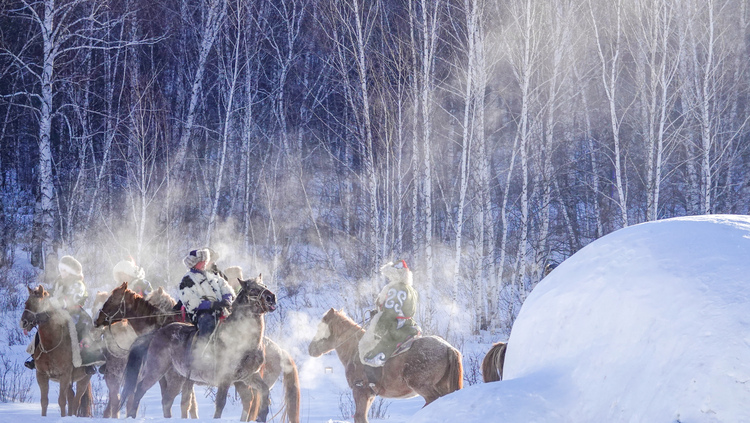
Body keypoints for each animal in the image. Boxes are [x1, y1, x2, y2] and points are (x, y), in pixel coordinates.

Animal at [20, 284, 94, 418]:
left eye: (39, 303)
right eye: (26, 303)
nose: (24, 322)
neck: (51, 346)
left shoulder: (64, 376)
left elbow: (61, 401)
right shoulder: (41, 375)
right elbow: (44, 401)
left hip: (84, 379)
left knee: (77, 400)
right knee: (71, 397)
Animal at [121, 276, 280, 420]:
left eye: (264, 285)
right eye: (253, 289)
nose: (271, 298)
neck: (242, 339)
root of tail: (158, 332)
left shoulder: (248, 376)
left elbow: (264, 391)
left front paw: (262, 416)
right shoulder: (225, 378)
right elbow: (220, 404)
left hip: (176, 377)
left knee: (166, 400)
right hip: (156, 369)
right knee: (140, 389)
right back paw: (132, 415)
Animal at [306, 308, 462, 423]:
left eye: (321, 327)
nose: (311, 349)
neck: (355, 349)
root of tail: (448, 348)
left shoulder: (360, 390)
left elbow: (359, 417)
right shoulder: (369, 395)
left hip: (424, 387)